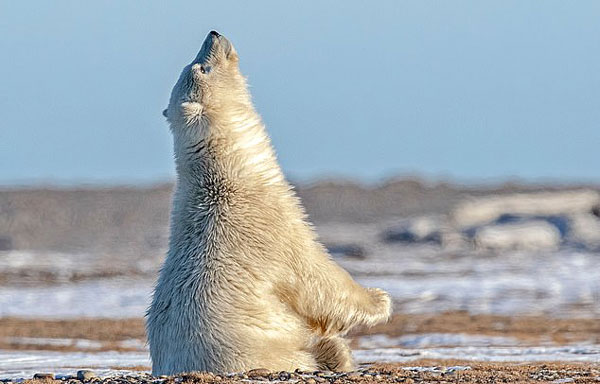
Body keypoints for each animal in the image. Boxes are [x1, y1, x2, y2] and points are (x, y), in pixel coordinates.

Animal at [146, 31, 394, 376]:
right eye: (202, 67)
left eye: (193, 63)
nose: (214, 34)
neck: (228, 178)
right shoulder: (272, 226)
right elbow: (316, 278)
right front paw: (379, 299)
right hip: (264, 351)